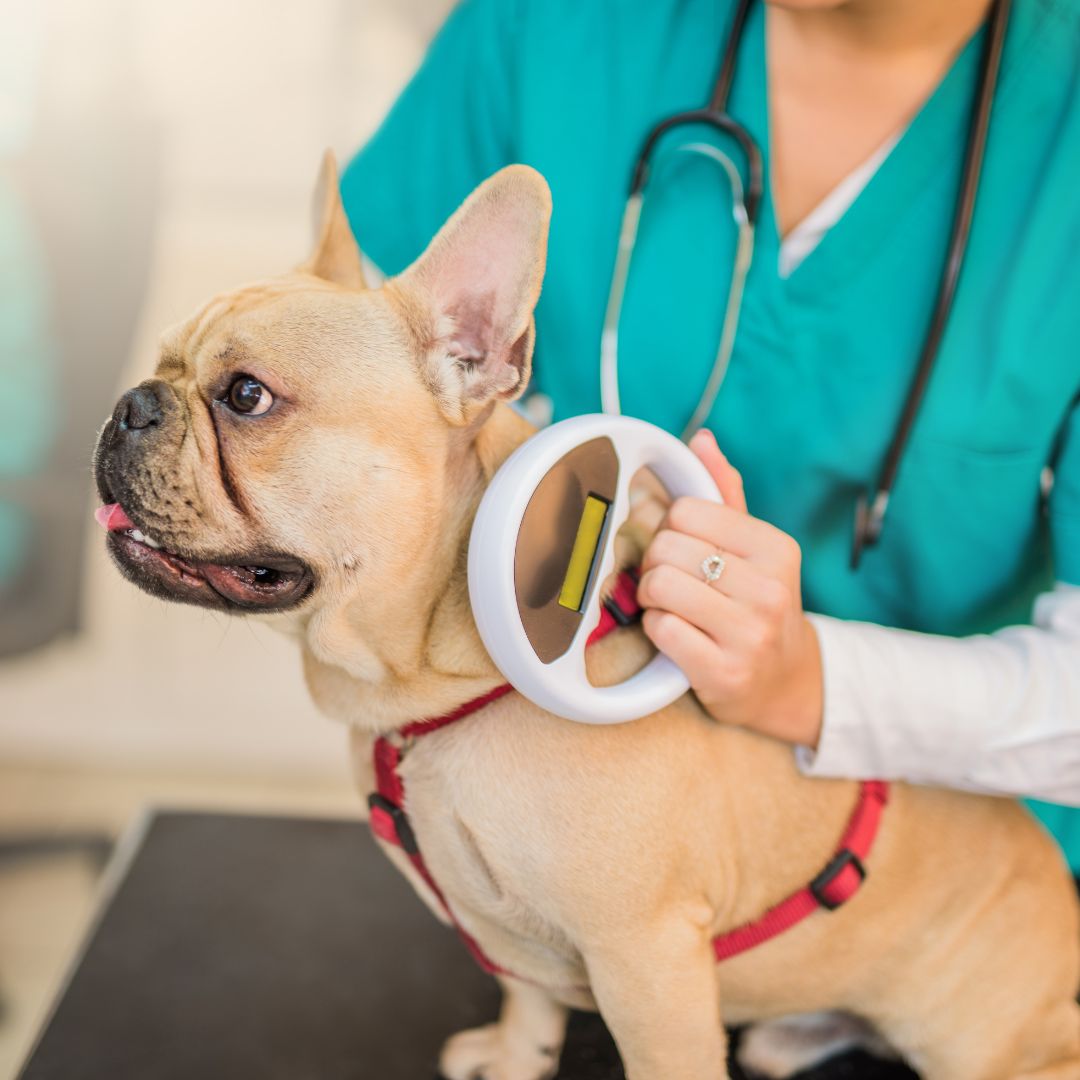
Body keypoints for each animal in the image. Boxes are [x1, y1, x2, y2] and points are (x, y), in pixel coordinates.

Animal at [92, 154, 1080, 1080]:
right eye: (163, 361)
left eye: (246, 396)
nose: (128, 404)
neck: (433, 689)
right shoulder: (512, 935)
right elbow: (526, 996)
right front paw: (515, 1056)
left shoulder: (647, 961)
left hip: (981, 1035)